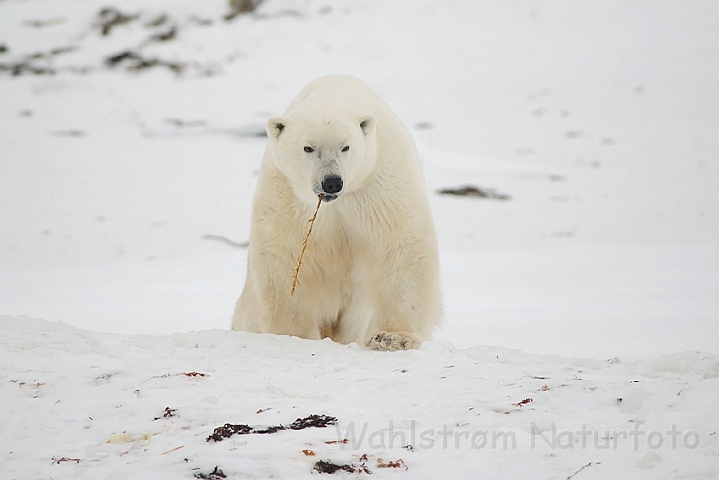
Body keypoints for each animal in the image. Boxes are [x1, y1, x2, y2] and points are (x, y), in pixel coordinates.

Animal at [233, 76, 442, 352]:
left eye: (346, 147)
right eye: (308, 147)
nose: (332, 182)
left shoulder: (380, 183)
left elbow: (401, 244)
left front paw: (392, 337)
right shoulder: (286, 192)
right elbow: (285, 255)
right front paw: (295, 335)